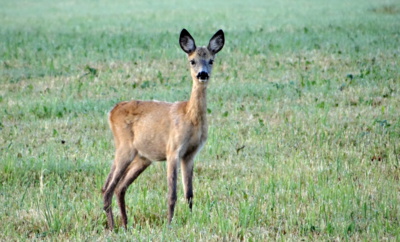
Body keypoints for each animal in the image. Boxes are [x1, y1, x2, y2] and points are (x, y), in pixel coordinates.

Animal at [101, 28, 225, 229]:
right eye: (192, 61)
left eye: (211, 60)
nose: (202, 74)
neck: (189, 116)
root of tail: (111, 112)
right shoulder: (173, 149)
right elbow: (172, 193)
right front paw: (169, 224)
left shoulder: (190, 154)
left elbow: (189, 194)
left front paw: (191, 220)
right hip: (125, 148)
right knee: (108, 188)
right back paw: (113, 227)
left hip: (142, 158)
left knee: (119, 187)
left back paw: (125, 225)